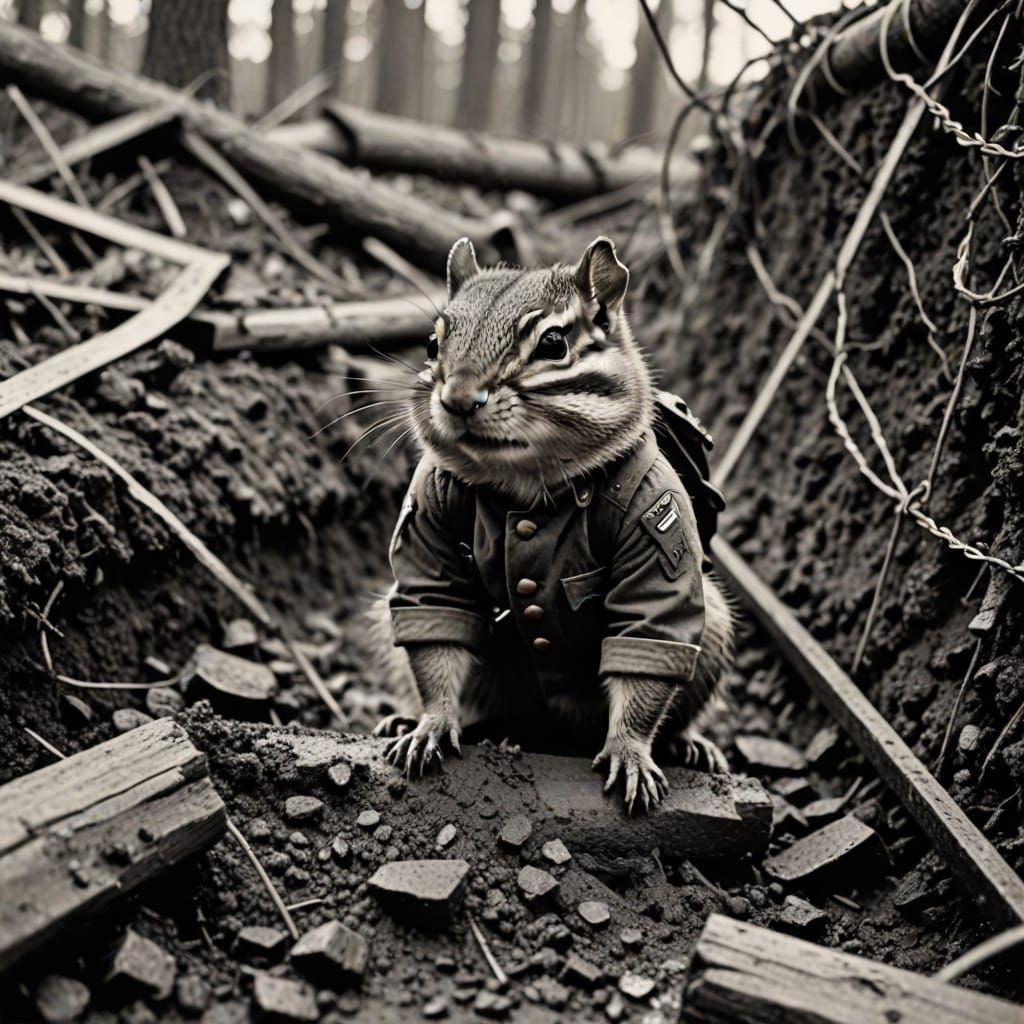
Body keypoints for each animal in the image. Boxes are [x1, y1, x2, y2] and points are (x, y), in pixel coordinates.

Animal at [371, 236, 733, 813]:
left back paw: (687, 745)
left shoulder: (655, 514)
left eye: (554, 342)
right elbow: (436, 624)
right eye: (431, 343)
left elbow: (648, 641)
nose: (457, 399)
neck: (527, 489)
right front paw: (431, 723)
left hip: (714, 630)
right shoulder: (427, 507)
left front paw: (629, 751)